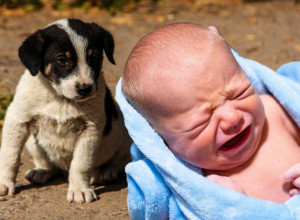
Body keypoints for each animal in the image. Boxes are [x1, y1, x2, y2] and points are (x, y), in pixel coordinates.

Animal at [0, 18, 131, 203]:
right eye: (62, 60)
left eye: (94, 57)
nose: (85, 89)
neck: (60, 98)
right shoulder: (17, 119)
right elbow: (9, 155)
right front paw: (4, 182)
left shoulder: (91, 129)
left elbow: (81, 164)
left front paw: (79, 189)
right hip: (33, 143)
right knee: (48, 164)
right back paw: (41, 172)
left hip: (123, 133)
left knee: (119, 161)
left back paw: (106, 172)